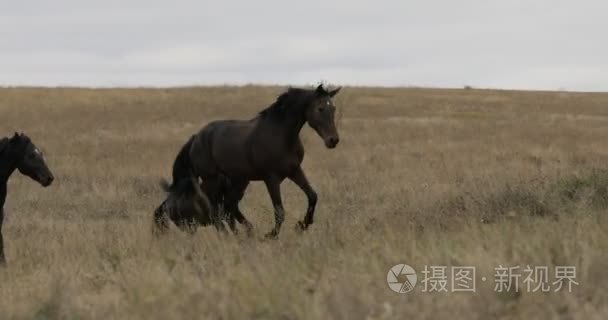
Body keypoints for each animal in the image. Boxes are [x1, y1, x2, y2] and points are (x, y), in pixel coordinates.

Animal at [162, 84, 342, 239]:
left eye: (333, 108)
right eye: (320, 108)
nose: (333, 140)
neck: (280, 135)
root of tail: (196, 137)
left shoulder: (294, 170)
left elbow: (312, 196)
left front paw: (302, 225)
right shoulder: (271, 178)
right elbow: (279, 211)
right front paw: (270, 235)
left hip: (238, 180)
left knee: (229, 205)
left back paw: (246, 232)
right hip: (212, 179)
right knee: (215, 208)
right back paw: (229, 234)